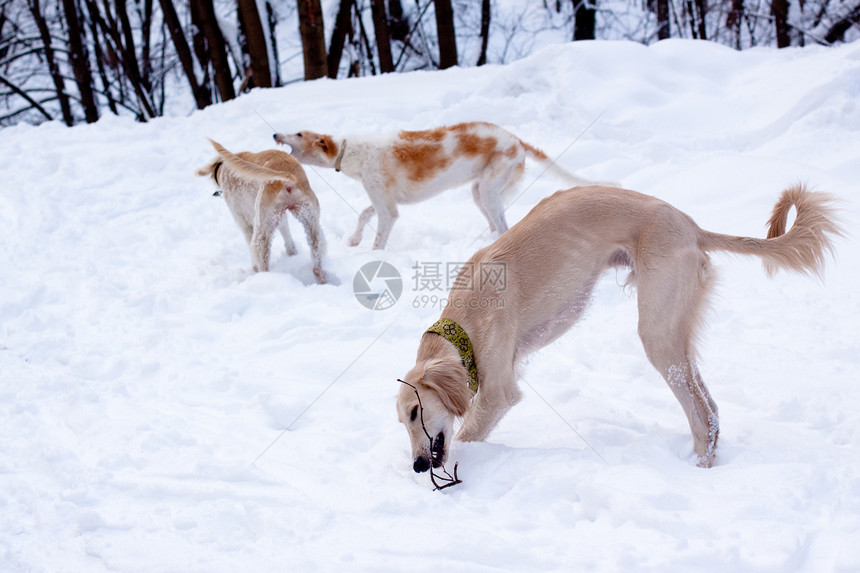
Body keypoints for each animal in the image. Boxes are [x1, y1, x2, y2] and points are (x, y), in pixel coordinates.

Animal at [197, 141, 328, 284]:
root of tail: (287, 178)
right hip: (311, 222)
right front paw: (292, 252)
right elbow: (287, 234)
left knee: (261, 254)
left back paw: (263, 277)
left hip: (262, 230)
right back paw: (321, 278)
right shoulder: (280, 218)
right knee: (316, 255)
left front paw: (254, 267)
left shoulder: (244, 221)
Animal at [396, 185, 840, 472]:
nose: (417, 466)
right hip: (674, 335)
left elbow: (469, 432)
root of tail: (691, 226)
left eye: (417, 411)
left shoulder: (498, 393)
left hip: (657, 334)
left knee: (701, 417)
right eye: (402, 422)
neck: (462, 323)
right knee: (712, 411)